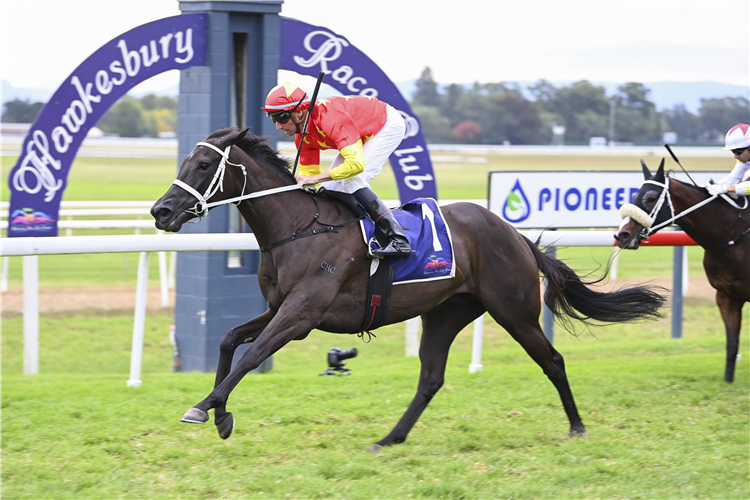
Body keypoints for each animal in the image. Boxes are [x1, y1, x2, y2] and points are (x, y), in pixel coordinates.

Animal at [150, 127, 668, 448]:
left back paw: (578, 427)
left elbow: (253, 355)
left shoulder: (302, 315)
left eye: (202, 164)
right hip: (446, 312)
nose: (160, 211)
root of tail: (515, 234)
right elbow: (228, 339)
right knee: (431, 378)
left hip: (514, 310)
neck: (298, 228)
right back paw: (389, 438)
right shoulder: (278, 306)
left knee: (553, 361)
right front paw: (220, 415)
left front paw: (204, 406)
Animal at [616, 160, 750, 382]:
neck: (734, 236)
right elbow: (732, 344)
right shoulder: (726, 296)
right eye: (634, 196)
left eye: (651, 198)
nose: (622, 235)